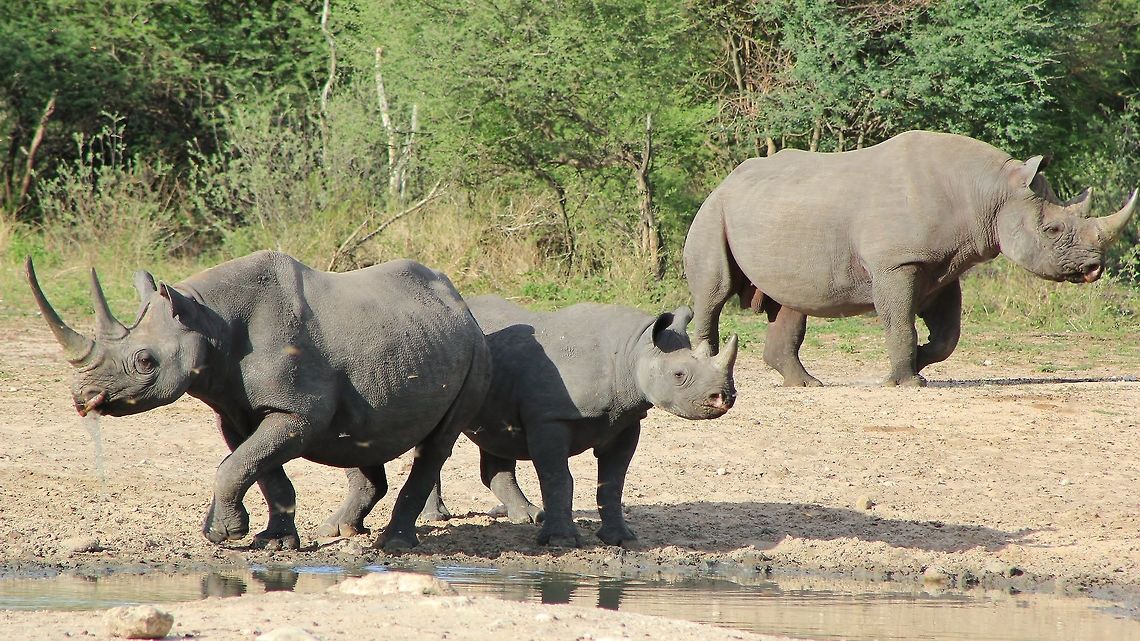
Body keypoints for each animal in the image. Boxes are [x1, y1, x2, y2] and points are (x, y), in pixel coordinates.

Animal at [26, 250, 491, 551]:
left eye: (145, 362)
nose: (82, 397)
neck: (207, 318)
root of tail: (458, 301)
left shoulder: (297, 411)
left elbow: (238, 465)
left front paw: (224, 535)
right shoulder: (233, 408)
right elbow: (256, 467)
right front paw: (273, 543)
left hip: (474, 348)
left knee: (437, 444)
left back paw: (394, 545)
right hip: (403, 342)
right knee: (364, 434)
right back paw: (337, 532)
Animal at [421, 295, 738, 547]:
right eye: (679, 375)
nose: (724, 397)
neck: (632, 350)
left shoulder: (626, 419)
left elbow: (613, 481)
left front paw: (621, 539)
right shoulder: (550, 418)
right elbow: (558, 477)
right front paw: (562, 542)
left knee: (497, 439)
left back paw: (528, 516)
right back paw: (435, 517)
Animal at [683, 130, 1137, 386]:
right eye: (1053, 231)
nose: (1094, 268)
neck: (990, 193)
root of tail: (724, 181)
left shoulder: (944, 265)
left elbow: (949, 335)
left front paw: (919, 365)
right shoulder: (898, 262)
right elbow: (900, 321)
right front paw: (904, 383)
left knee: (791, 304)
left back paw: (808, 386)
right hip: (712, 213)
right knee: (715, 292)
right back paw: (706, 367)